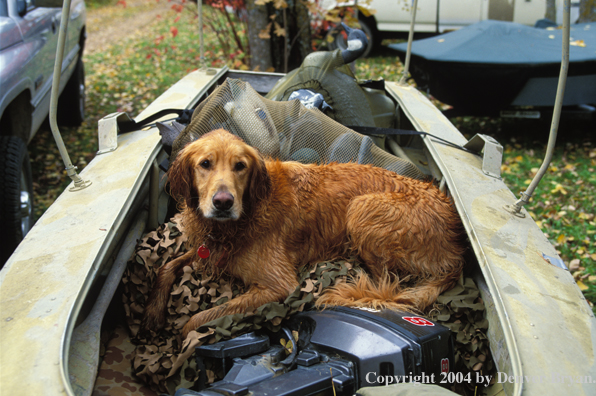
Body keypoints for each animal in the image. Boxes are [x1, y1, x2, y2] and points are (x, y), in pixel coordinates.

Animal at [141, 129, 466, 338]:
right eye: (205, 164)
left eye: (240, 166)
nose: (223, 203)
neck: (243, 218)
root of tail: (457, 247)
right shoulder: (208, 249)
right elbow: (168, 265)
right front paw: (154, 311)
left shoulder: (280, 284)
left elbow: (197, 320)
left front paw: (181, 343)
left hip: (362, 208)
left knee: (385, 283)